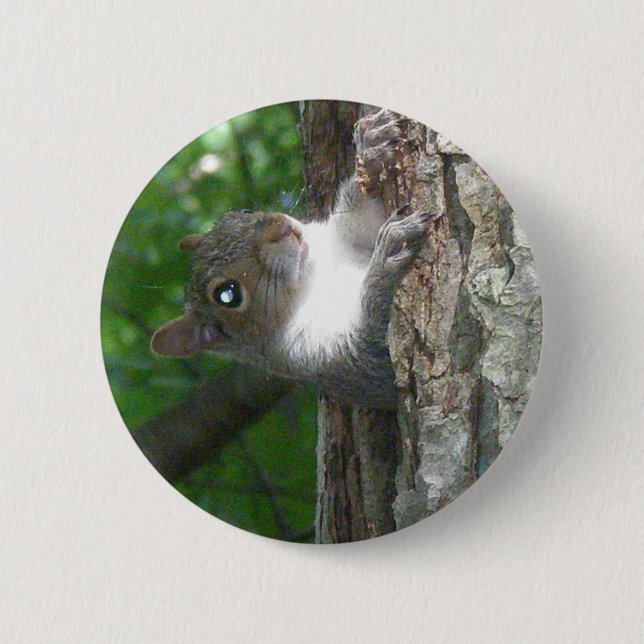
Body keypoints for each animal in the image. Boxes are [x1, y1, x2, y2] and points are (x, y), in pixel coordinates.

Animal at [151, 110, 432, 409]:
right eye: (227, 295)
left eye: (243, 212)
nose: (280, 228)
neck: (316, 278)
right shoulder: (329, 360)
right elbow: (376, 348)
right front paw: (387, 258)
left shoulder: (347, 240)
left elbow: (362, 216)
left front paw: (371, 146)